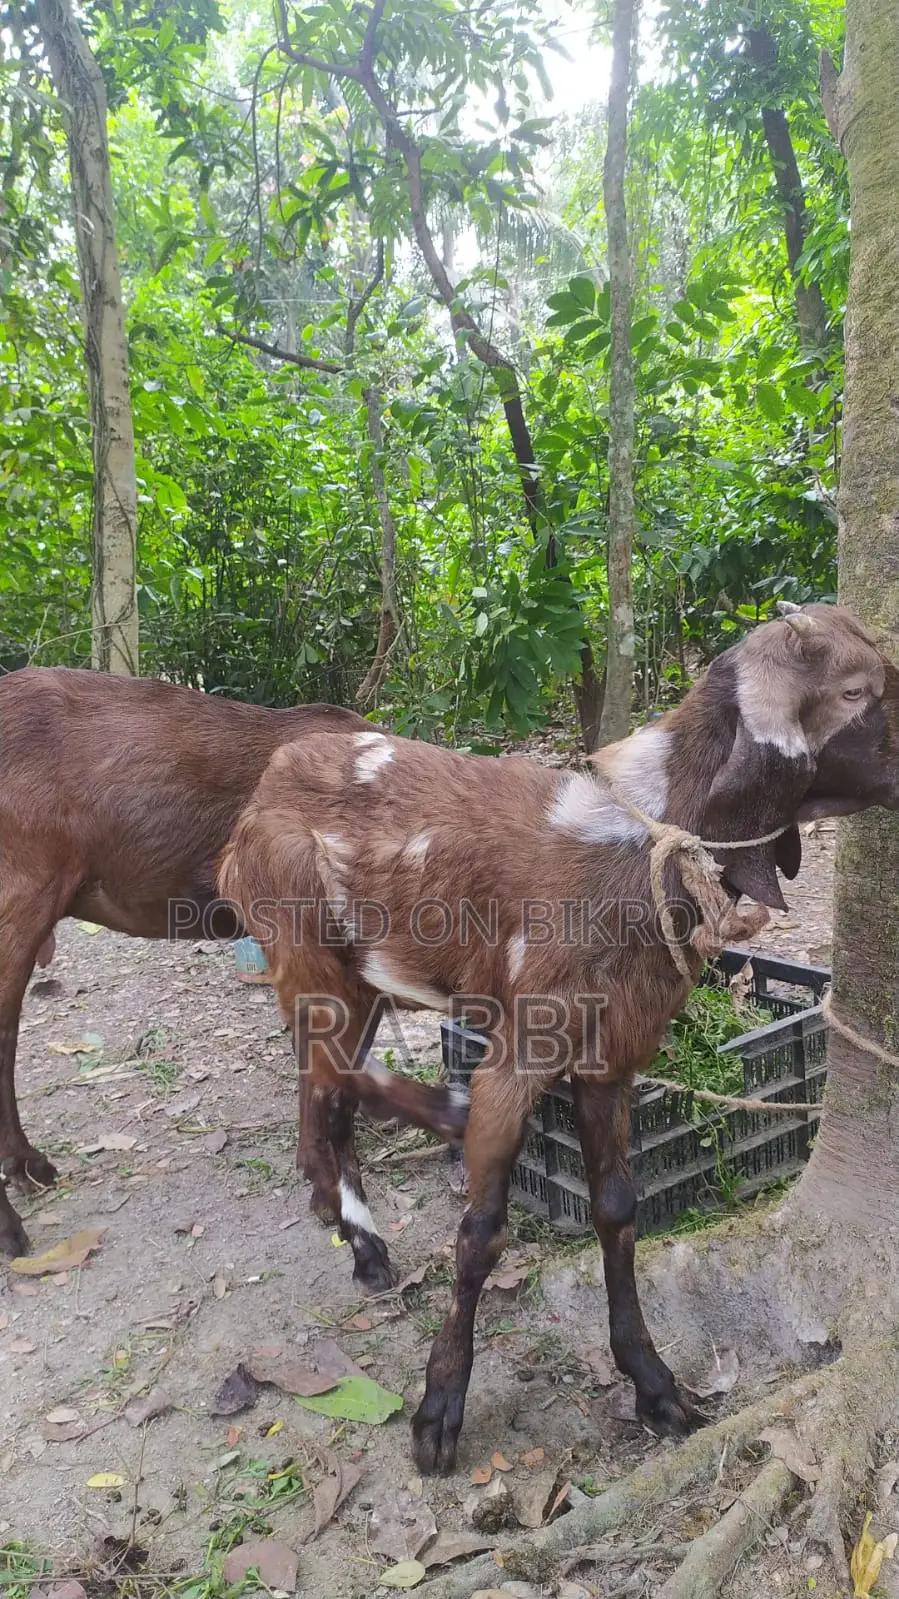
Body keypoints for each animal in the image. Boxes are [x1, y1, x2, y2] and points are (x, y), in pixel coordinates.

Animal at [218, 604, 899, 1473]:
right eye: (856, 691)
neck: (638, 852)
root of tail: (267, 783)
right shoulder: (521, 1049)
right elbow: (480, 1233)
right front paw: (437, 1413)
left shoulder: (612, 1054)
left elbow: (616, 1207)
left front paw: (656, 1386)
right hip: (306, 952)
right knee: (328, 1073)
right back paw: (373, 1214)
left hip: (358, 975)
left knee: (324, 1084)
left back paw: (351, 1225)